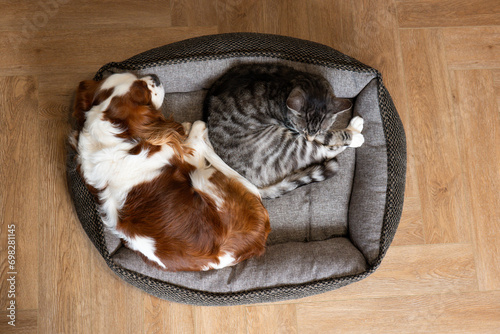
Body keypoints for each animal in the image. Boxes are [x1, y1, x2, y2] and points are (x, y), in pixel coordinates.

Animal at [70, 72, 270, 272]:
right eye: (145, 92)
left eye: (136, 76)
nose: (155, 77)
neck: (106, 137)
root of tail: (258, 240)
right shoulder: (179, 156)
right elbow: (192, 144)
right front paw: (191, 129)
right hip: (203, 178)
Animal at [202, 63, 364, 197]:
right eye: (303, 130)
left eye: (317, 131)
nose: (308, 138)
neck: (287, 83)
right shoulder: (296, 130)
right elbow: (329, 138)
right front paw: (353, 135)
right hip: (285, 143)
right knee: (323, 152)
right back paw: (356, 130)